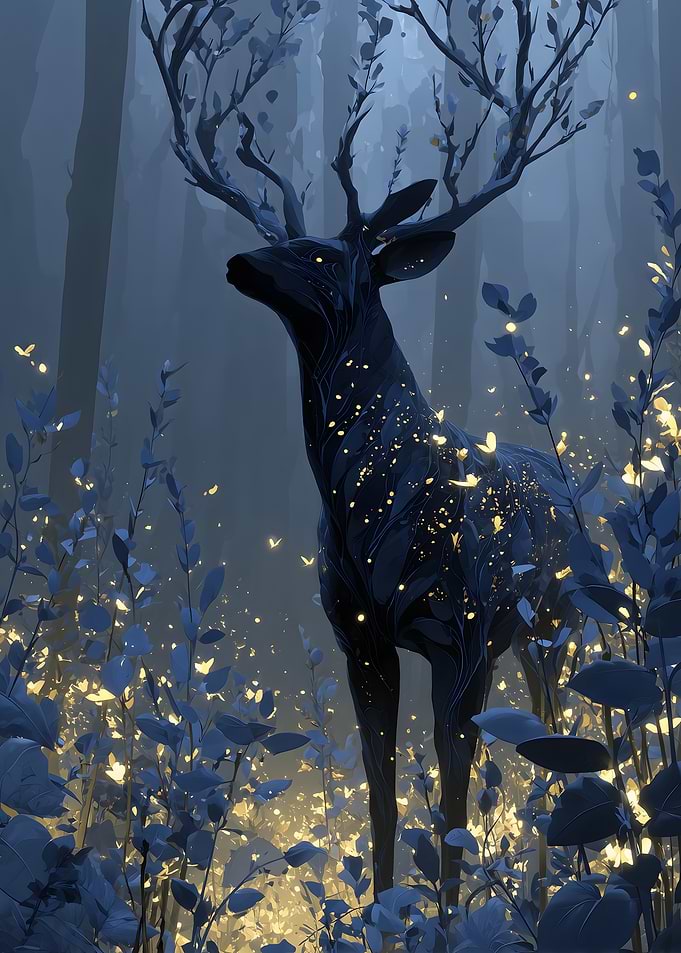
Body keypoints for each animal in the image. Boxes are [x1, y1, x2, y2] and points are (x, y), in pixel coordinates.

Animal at [144, 0, 615, 901]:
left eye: (320, 254)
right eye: (276, 235)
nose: (238, 259)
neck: (374, 506)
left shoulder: (464, 637)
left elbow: (454, 803)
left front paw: (443, 916)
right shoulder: (357, 633)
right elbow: (382, 792)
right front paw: (379, 911)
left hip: (558, 619)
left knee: (567, 731)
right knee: (545, 740)